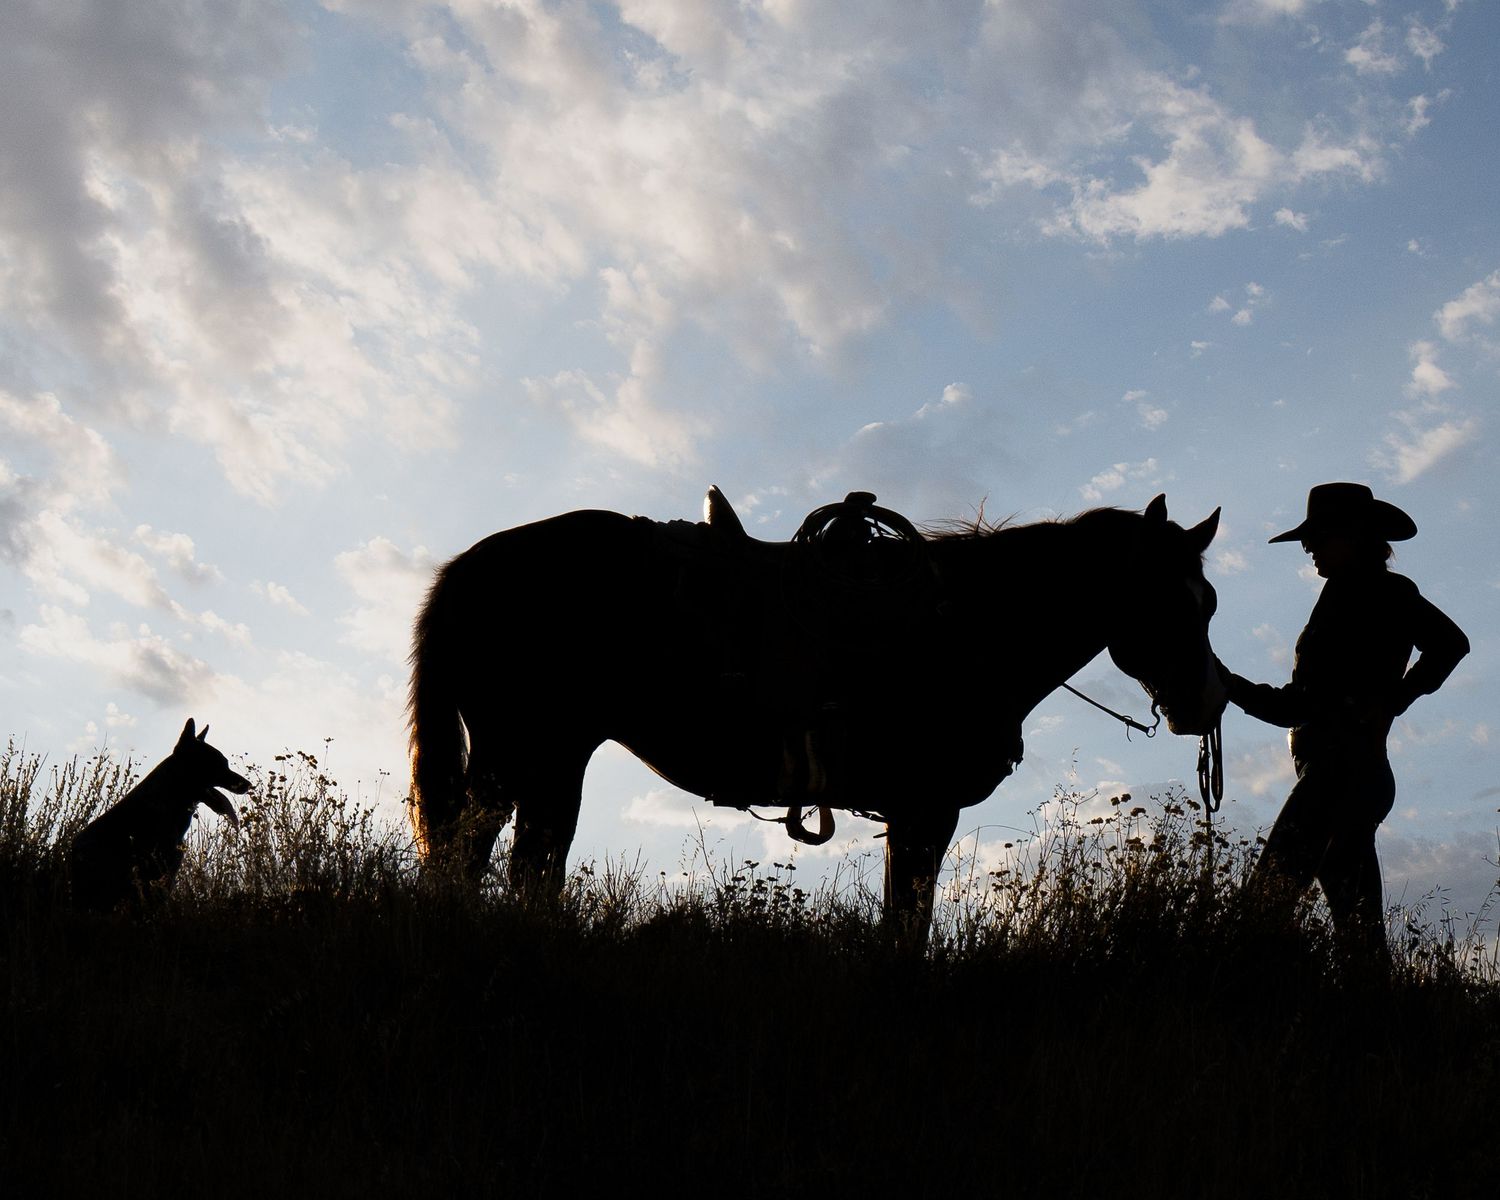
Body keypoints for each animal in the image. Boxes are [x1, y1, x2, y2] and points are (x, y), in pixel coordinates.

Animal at [407, 492, 1226, 929]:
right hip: (530, 755)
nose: (1205, 702)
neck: (963, 628)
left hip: (544, 763)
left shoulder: (913, 813)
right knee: (483, 857)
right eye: (1164, 600)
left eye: (1208, 600)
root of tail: (468, 567)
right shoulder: (927, 809)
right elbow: (907, 925)